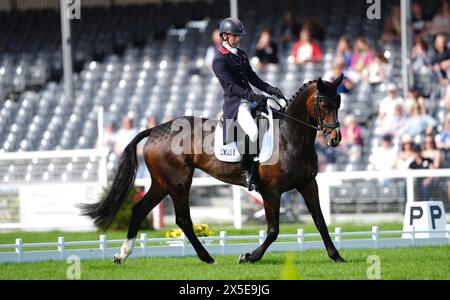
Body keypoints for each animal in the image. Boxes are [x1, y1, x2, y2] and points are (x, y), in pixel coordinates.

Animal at [81, 74, 346, 264]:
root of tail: (155, 130)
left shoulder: (308, 184)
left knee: (138, 210)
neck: (289, 137)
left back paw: (121, 255)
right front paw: (248, 257)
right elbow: (273, 230)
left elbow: (320, 222)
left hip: (161, 183)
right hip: (178, 183)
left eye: (339, 103)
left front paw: (337, 257)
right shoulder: (271, 191)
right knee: (183, 219)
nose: (335, 140)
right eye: (323, 104)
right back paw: (207, 258)